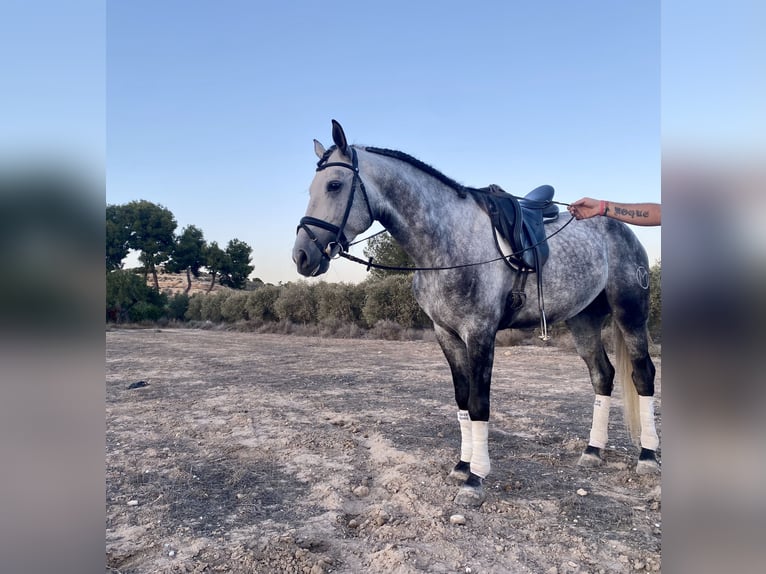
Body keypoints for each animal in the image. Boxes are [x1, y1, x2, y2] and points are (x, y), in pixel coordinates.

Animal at [294, 119, 660, 506]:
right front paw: (461, 465)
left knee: (643, 374)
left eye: (334, 185)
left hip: (630, 313)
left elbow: (479, 402)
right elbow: (462, 399)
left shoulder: (479, 333)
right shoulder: (446, 334)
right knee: (602, 375)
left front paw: (475, 478)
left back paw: (648, 456)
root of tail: (619, 226)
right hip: (584, 319)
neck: (447, 240)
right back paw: (592, 450)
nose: (302, 255)